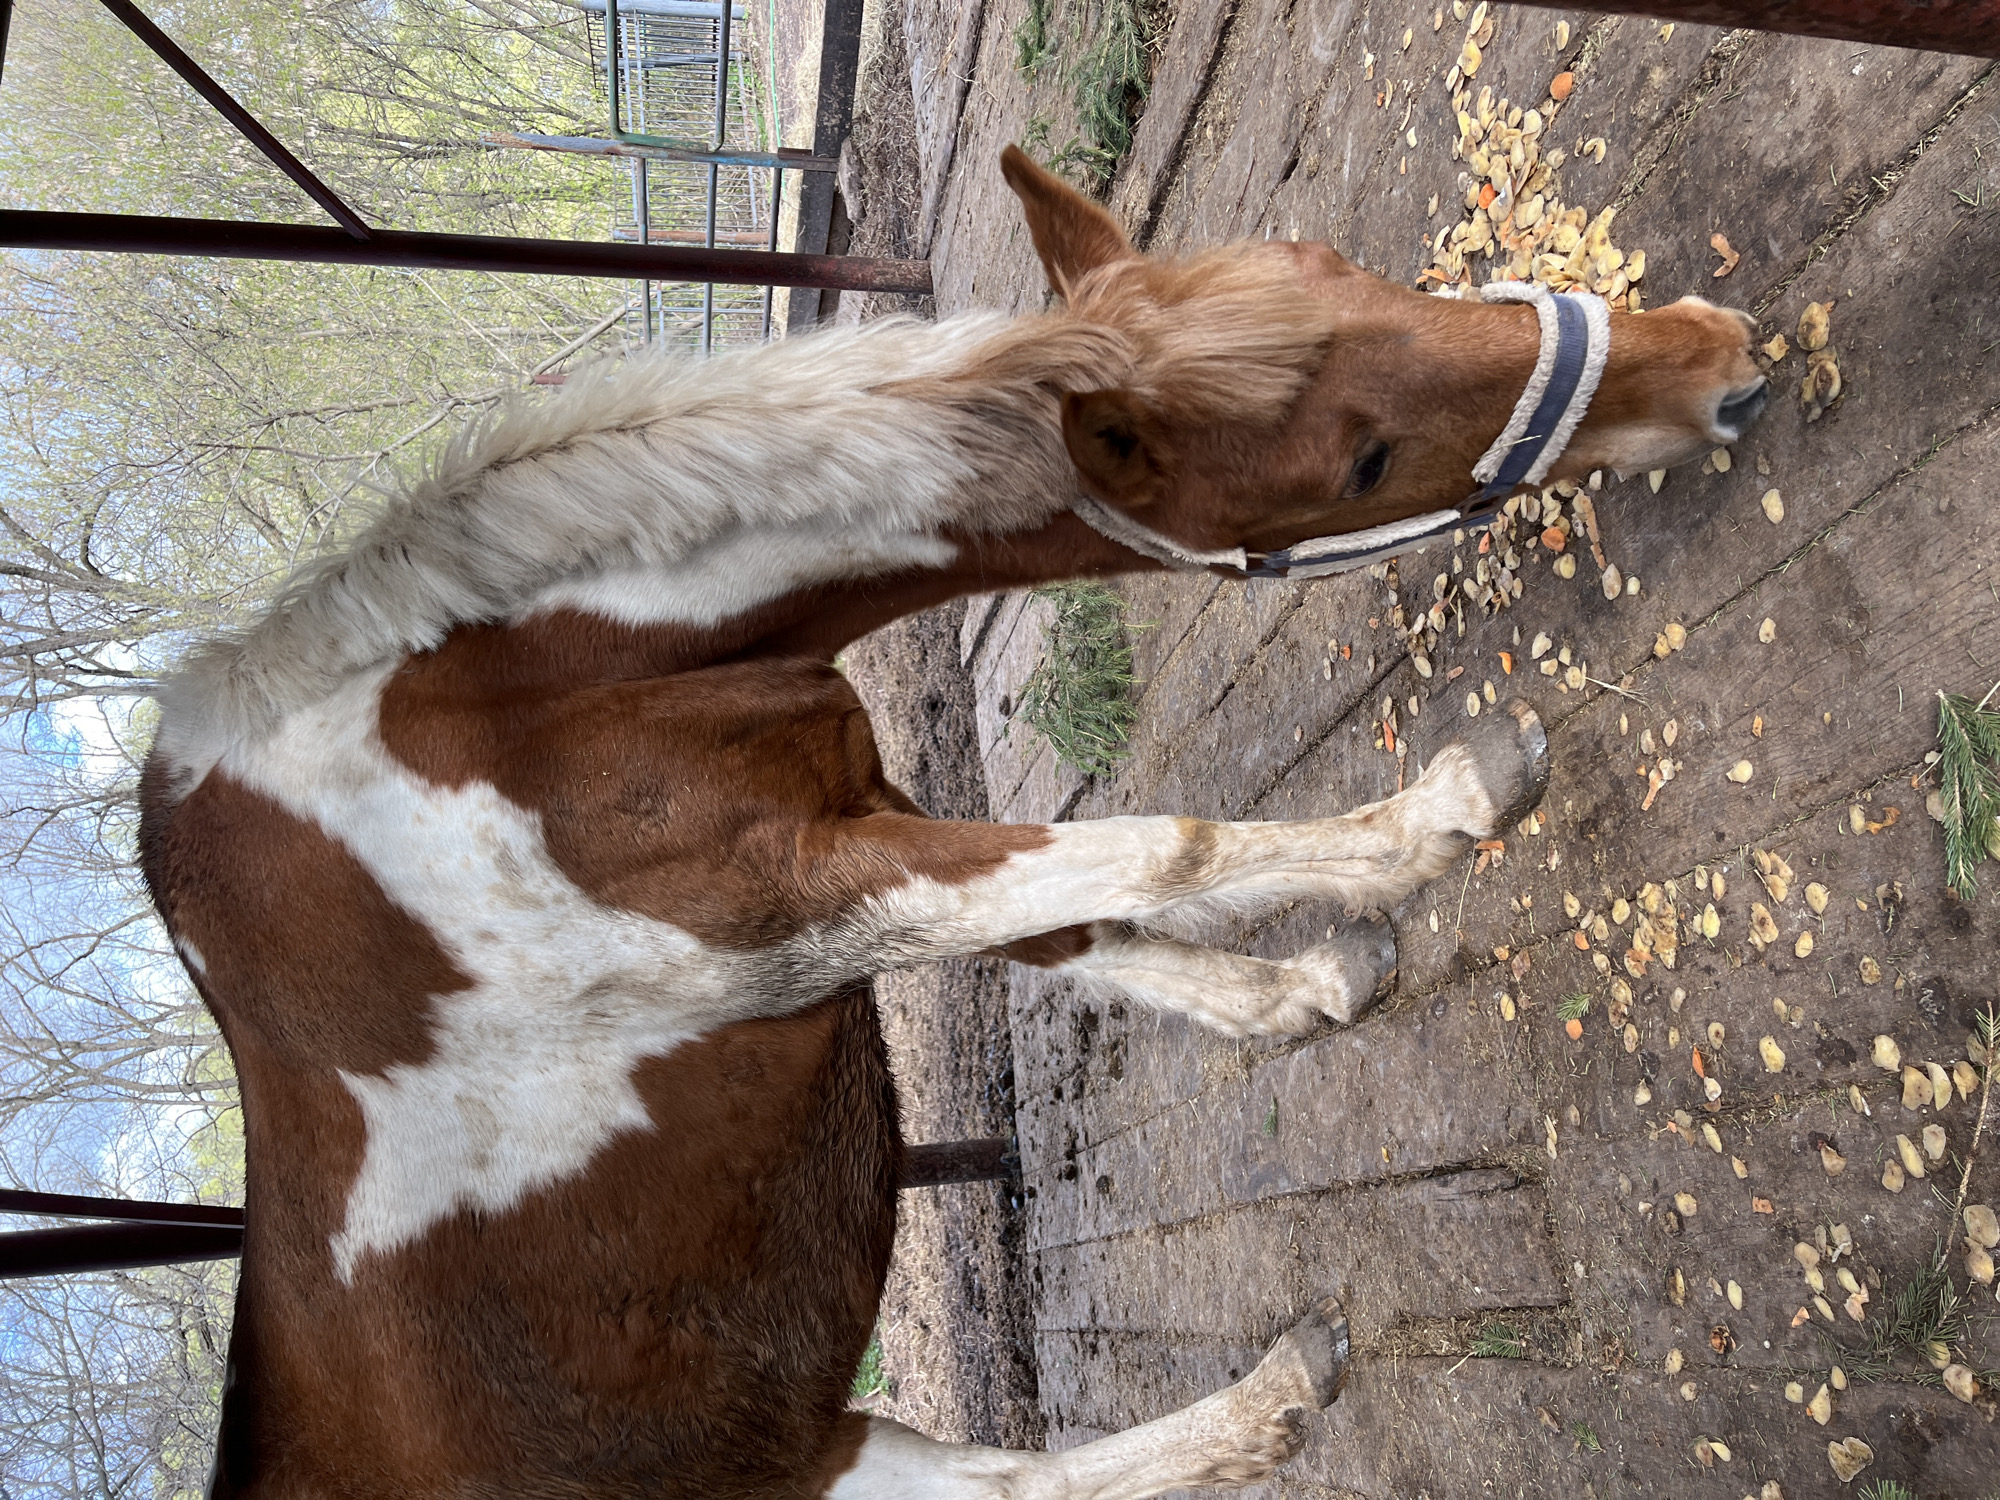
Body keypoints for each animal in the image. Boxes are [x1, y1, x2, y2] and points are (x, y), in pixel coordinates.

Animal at [138, 147, 1766, 1498]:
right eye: (1357, 461)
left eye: (1359, 272)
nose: (1716, 366)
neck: (524, 720)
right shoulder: (808, 901)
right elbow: (1159, 850)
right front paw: (1440, 815)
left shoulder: (869, 814)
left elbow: (1081, 926)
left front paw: (1303, 985)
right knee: (1025, 1488)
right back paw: (1271, 1396)